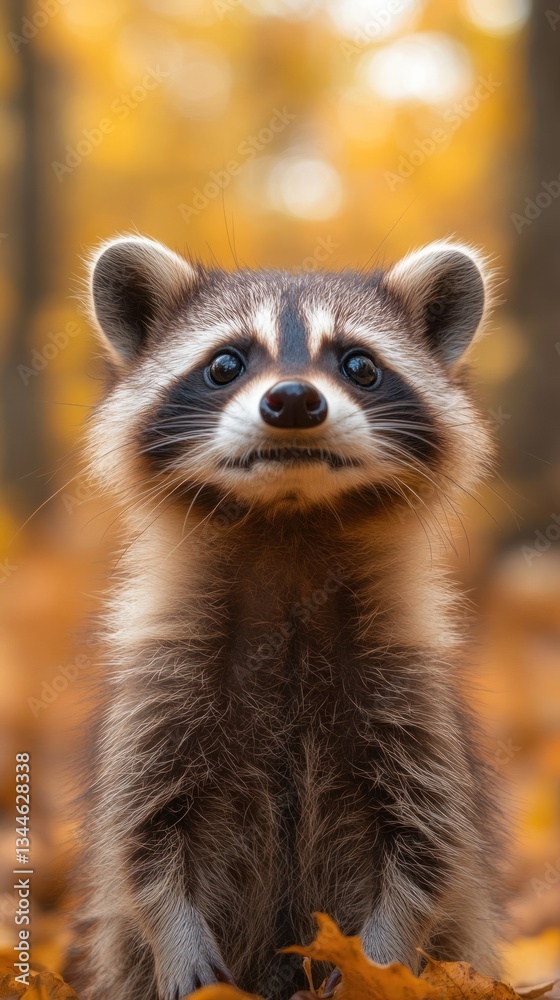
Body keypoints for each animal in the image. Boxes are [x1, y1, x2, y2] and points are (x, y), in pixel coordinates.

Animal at [75, 235, 502, 1000]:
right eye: (226, 363)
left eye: (359, 365)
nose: (295, 400)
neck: (288, 533)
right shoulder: (162, 686)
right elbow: (139, 837)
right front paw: (173, 935)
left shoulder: (410, 691)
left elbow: (431, 844)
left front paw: (378, 960)